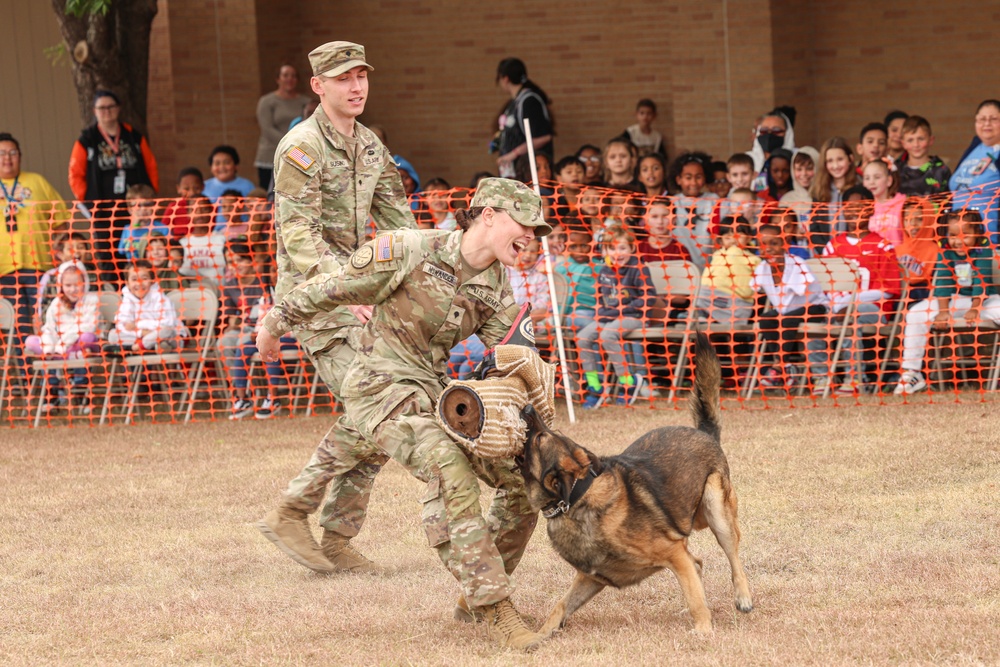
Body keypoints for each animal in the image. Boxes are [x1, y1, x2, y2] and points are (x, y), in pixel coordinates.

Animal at [524, 334, 752, 636]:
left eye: (541, 438)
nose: (527, 407)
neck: (576, 498)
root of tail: (704, 432)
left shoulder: (673, 552)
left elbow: (694, 595)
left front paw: (703, 630)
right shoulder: (592, 577)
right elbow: (560, 606)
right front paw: (537, 637)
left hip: (716, 511)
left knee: (732, 559)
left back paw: (743, 598)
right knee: (698, 564)